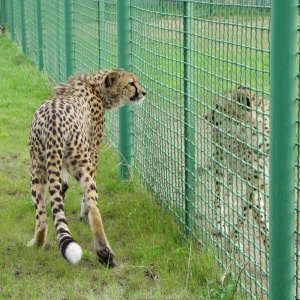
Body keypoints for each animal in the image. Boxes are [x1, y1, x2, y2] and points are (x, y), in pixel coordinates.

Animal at [27, 68, 147, 264]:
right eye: (131, 83)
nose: (144, 92)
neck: (94, 85)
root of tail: (52, 123)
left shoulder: (59, 167)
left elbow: (60, 189)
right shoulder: (93, 154)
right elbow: (86, 200)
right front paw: (83, 215)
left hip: (37, 169)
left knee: (41, 214)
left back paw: (37, 243)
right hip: (82, 164)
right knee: (94, 208)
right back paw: (105, 253)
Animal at [205, 85, 270, 248]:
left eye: (217, 106)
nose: (206, 116)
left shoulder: (257, 186)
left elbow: (245, 214)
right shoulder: (254, 187)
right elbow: (260, 221)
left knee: (228, 188)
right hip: (219, 161)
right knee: (218, 195)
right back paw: (220, 224)